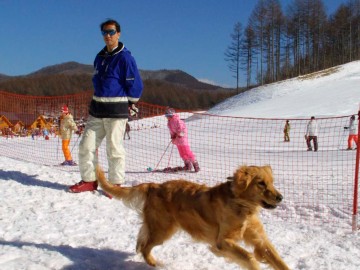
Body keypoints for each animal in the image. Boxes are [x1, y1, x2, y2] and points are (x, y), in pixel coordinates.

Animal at [96, 165, 290, 270]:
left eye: (272, 182)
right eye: (261, 183)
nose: (281, 197)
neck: (242, 206)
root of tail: (154, 186)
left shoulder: (259, 239)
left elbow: (278, 260)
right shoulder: (222, 242)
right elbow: (249, 257)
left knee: (142, 238)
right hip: (163, 230)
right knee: (145, 247)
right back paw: (153, 263)